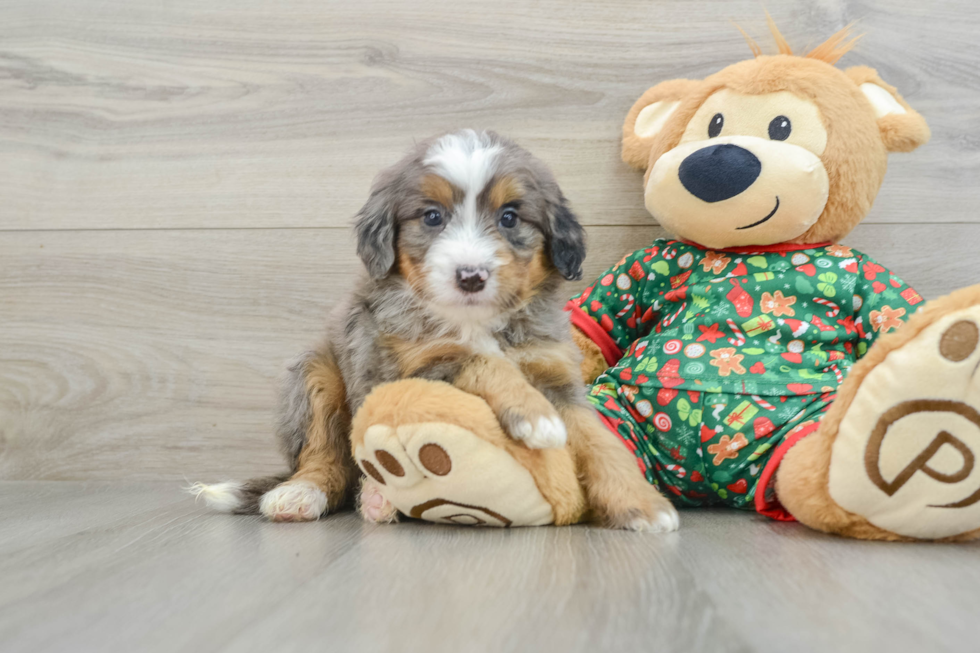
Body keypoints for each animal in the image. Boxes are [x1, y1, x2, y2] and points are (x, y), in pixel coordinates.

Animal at [195, 130, 676, 532]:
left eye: (509, 217)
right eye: (431, 217)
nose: (471, 276)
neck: (474, 319)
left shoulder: (557, 374)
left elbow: (601, 443)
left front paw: (644, 505)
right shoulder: (411, 365)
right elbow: (481, 361)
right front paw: (534, 416)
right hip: (316, 374)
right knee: (326, 455)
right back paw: (315, 495)